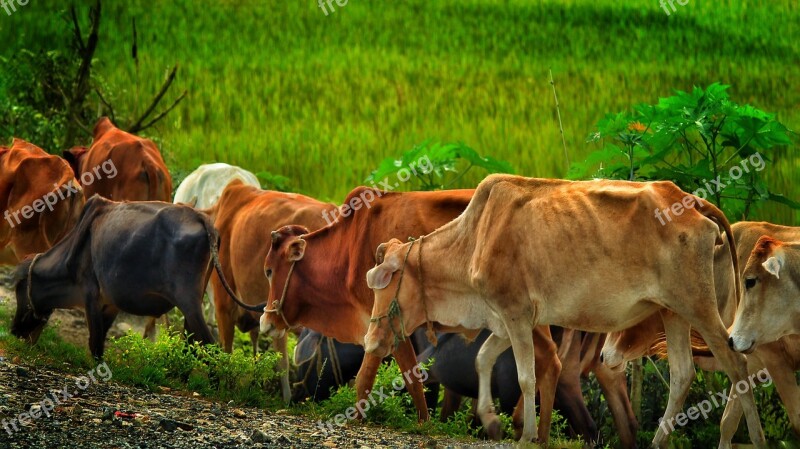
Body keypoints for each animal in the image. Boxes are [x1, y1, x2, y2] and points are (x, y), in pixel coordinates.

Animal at [8, 194, 253, 358]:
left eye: (20, 290)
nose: (14, 331)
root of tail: (201, 218)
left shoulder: (90, 294)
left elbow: (95, 343)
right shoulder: (111, 302)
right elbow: (100, 337)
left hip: (188, 301)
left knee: (209, 344)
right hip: (194, 302)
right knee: (190, 342)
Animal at [366, 176, 764, 448]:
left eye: (386, 281)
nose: (369, 340)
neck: (475, 237)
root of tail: (691, 200)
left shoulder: (515, 314)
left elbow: (527, 377)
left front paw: (526, 434)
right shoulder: (504, 320)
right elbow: (482, 359)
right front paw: (491, 419)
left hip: (699, 307)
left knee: (737, 366)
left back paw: (753, 438)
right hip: (673, 313)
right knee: (683, 375)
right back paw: (657, 442)